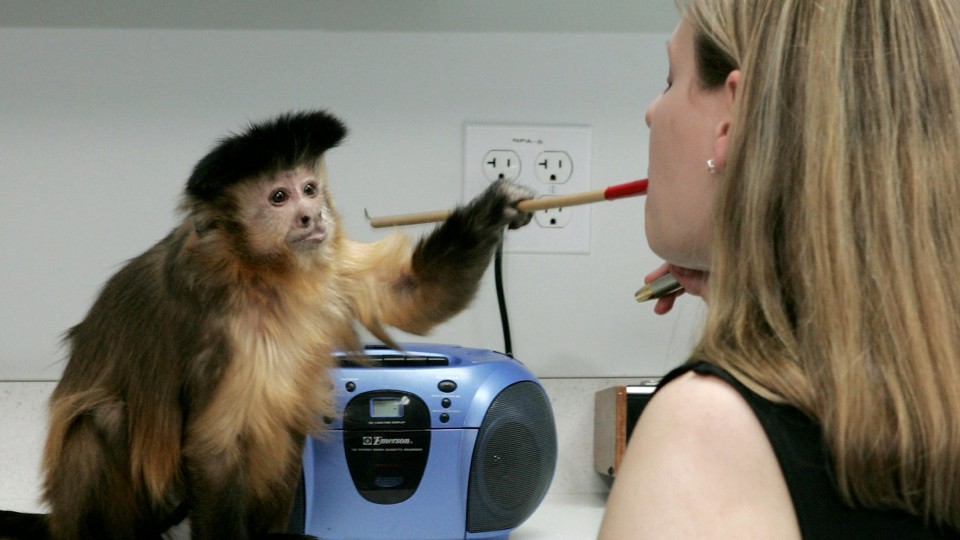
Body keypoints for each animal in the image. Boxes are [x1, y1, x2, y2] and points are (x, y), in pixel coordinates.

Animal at [0, 110, 532, 540]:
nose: (311, 216)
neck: (264, 272)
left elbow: (413, 294)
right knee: (106, 418)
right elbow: (215, 447)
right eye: (279, 197)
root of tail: (58, 519)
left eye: (310, 190)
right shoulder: (221, 326)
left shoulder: (329, 263)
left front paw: (499, 207)